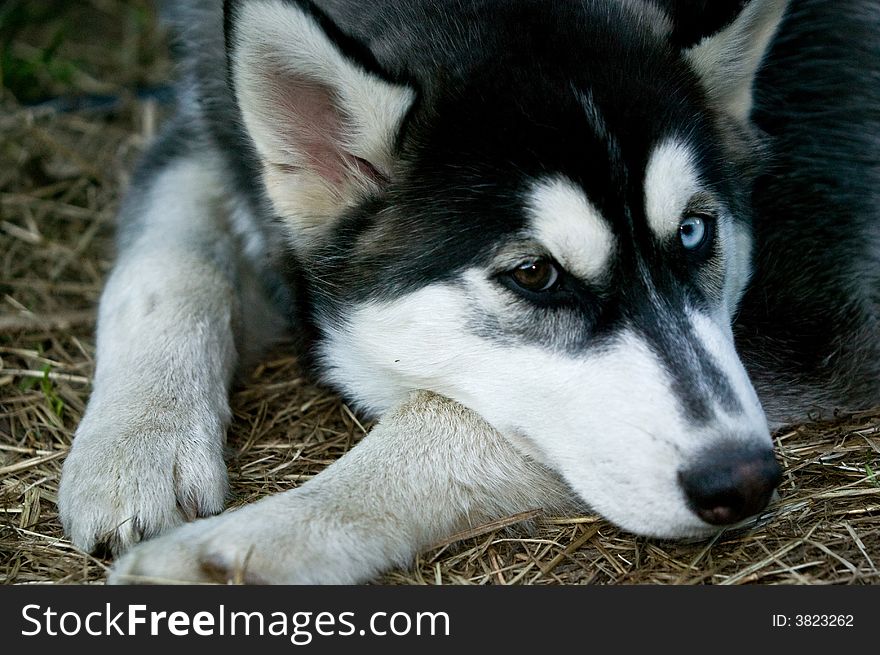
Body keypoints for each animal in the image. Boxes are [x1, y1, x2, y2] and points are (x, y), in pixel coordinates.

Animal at [58, 0, 876, 584]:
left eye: (695, 232)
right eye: (535, 275)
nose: (744, 479)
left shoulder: (821, 316)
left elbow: (445, 417)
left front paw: (232, 551)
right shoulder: (201, 129)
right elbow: (158, 265)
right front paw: (135, 446)